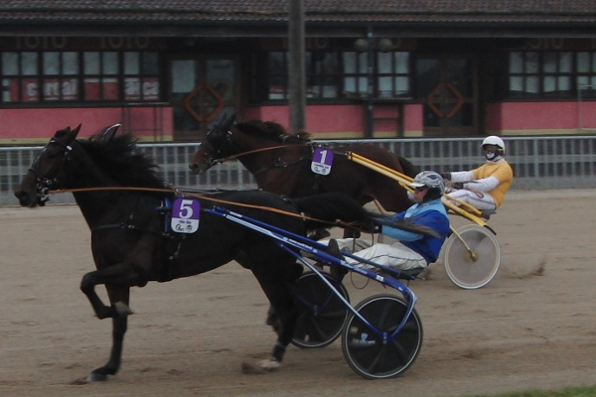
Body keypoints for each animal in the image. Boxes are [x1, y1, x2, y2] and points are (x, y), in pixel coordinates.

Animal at [12, 124, 428, 380]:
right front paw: (108, 366)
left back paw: (276, 357)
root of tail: (289, 204)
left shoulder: (134, 270)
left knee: (292, 303)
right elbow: (116, 320)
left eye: (52, 155)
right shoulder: (117, 274)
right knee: (298, 292)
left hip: (266, 264)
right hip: (264, 261)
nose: (22, 192)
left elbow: (87, 282)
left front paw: (102, 314)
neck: (126, 209)